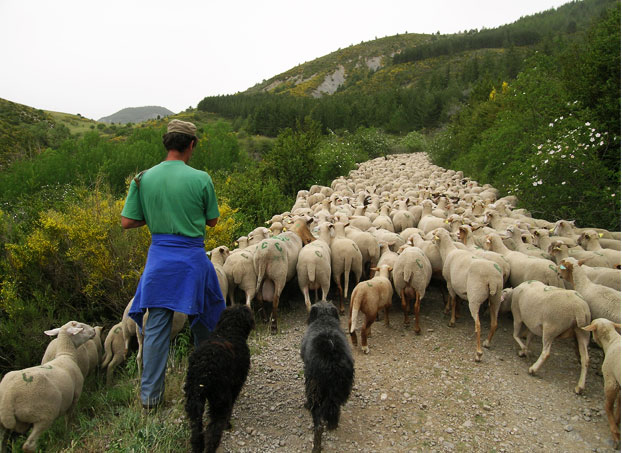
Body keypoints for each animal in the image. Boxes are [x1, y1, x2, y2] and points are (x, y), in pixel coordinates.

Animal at [0, 320, 96, 450]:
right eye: (81, 327)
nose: (94, 330)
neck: (66, 354)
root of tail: (8, 398)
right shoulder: (75, 396)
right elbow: (68, 419)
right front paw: (69, 434)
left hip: (4, 424)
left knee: (3, 443)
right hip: (44, 415)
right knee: (29, 445)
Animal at [184, 304, 255, 452]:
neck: (229, 330)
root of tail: (204, 370)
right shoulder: (235, 385)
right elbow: (231, 407)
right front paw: (228, 424)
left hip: (194, 400)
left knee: (196, 431)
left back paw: (198, 447)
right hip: (219, 399)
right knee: (214, 430)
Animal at [302, 300, 356, 452]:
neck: (324, 318)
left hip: (315, 388)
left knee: (318, 420)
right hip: (340, 390)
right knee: (334, 408)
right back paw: (333, 424)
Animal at [436, 230, 504, 360]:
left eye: (434, 234)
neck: (448, 251)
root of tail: (492, 278)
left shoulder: (450, 283)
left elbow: (453, 300)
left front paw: (452, 320)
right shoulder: (458, 287)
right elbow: (457, 301)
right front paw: (456, 314)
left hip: (475, 297)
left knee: (478, 325)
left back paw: (478, 353)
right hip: (496, 298)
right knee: (494, 323)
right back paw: (487, 342)